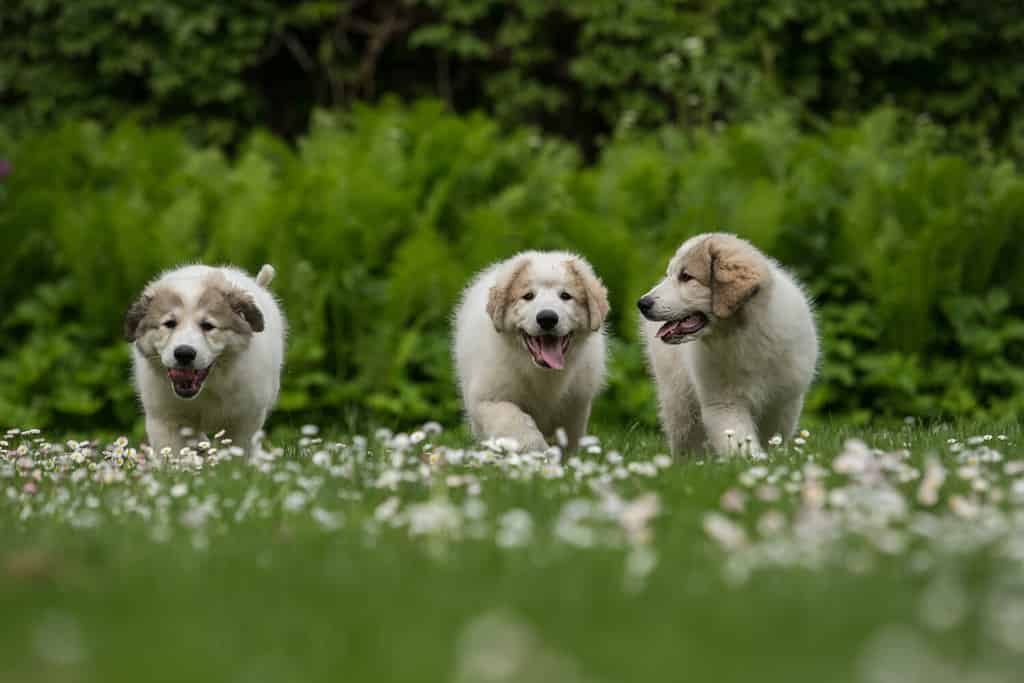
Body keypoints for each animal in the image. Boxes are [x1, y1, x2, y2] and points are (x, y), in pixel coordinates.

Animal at [126, 264, 288, 456]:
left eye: (208, 326)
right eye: (169, 324)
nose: (184, 353)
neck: (207, 389)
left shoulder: (244, 421)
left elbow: (237, 453)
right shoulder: (164, 421)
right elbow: (173, 454)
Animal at [454, 250, 606, 454]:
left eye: (566, 296)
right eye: (528, 296)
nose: (547, 318)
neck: (540, 371)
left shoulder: (575, 407)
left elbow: (568, 444)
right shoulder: (488, 400)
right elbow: (515, 421)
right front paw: (536, 449)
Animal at [634, 232, 819, 456]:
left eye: (686, 277)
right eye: (671, 274)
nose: (642, 303)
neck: (741, 334)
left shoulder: (782, 401)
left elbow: (773, 435)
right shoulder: (724, 402)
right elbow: (737, 437)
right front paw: (751, 459)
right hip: (678, 398)